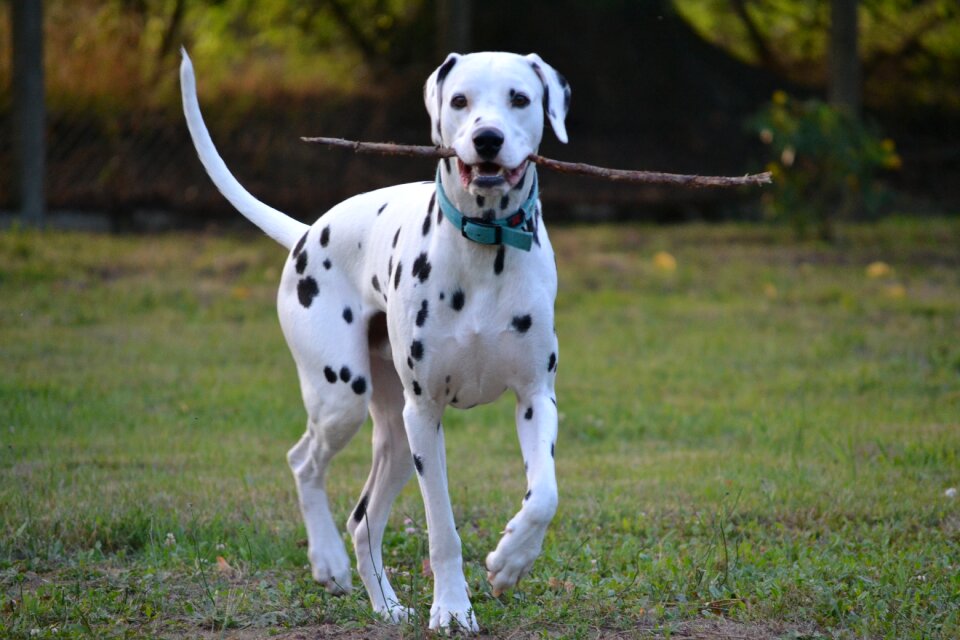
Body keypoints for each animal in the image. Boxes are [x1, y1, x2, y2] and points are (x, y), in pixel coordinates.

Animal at [180, 48, 568, 632]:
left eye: (520, 98)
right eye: (460, 100)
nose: (487, 138)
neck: (483, 249)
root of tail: (305, 232)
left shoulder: (535, 400)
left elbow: (543, 494)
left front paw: (511, 561)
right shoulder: (425, 414)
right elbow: (442, 530)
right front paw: (452, 609)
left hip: (398, 440)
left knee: (362, 519)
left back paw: (384, 604)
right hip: (345, 398)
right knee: (304, 462)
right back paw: (328, 561)